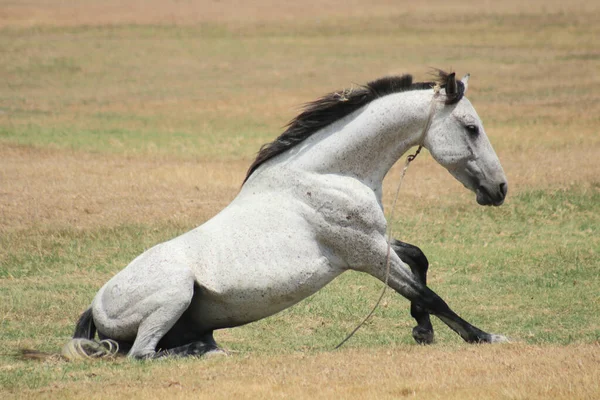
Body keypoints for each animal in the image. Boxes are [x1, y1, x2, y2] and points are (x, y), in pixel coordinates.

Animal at [64, 71, 506, 360]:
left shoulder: (376, 240)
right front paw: (483, 336)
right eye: (471, 127)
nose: (499, 189)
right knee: (141, 354)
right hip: (174, 294)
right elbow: (427, 293)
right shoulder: (365, 253)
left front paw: (422, 330)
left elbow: (418, 259)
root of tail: (97, 302)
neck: (324, 175)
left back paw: (209, 349)